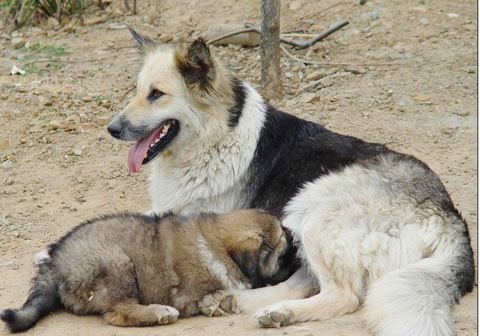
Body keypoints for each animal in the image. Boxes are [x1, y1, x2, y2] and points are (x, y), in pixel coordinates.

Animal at [0, 210, 284, 330]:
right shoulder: (190, 294)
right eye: (283, 248)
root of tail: (55, 262)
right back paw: (159, 313)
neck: (215, 241)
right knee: (118, 311)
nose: (292, 235)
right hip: (117, 265)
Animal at [107, 29, 474, 336]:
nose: (112, 129)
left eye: (156, 94)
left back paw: (280, 311)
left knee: (343, 295)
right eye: (137, 91)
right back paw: (244, 304)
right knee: (305, 281)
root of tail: (448, 216)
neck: (217, 136)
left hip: (313, 207)